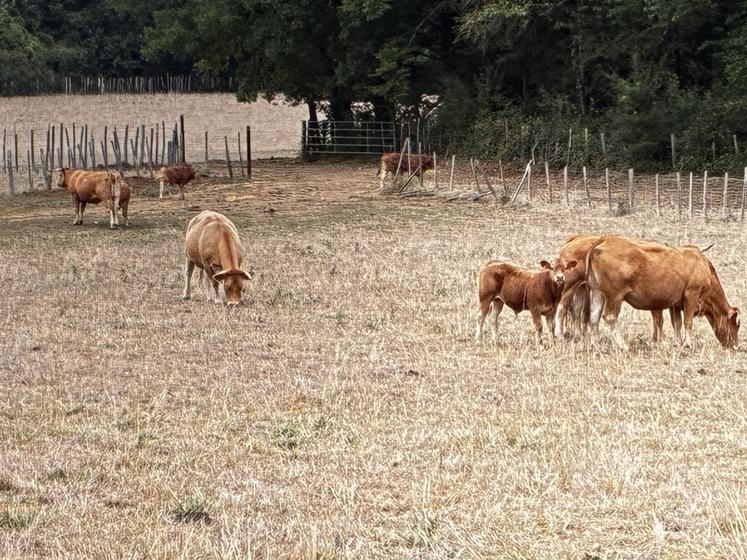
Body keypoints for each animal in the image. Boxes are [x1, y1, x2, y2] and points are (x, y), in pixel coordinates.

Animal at [586, 236, 740, 350]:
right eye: (736, 324)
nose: (736, 346)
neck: (702, 265)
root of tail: (603, 241)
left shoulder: (675, 303)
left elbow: (676, 323)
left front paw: (678, 342)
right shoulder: (692, 294)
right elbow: (687, 321)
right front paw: (688, 344)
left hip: (597, 292)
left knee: (594, 317)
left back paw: (596, 345)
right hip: (614, 296)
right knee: (610, 317)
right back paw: (622, 345)